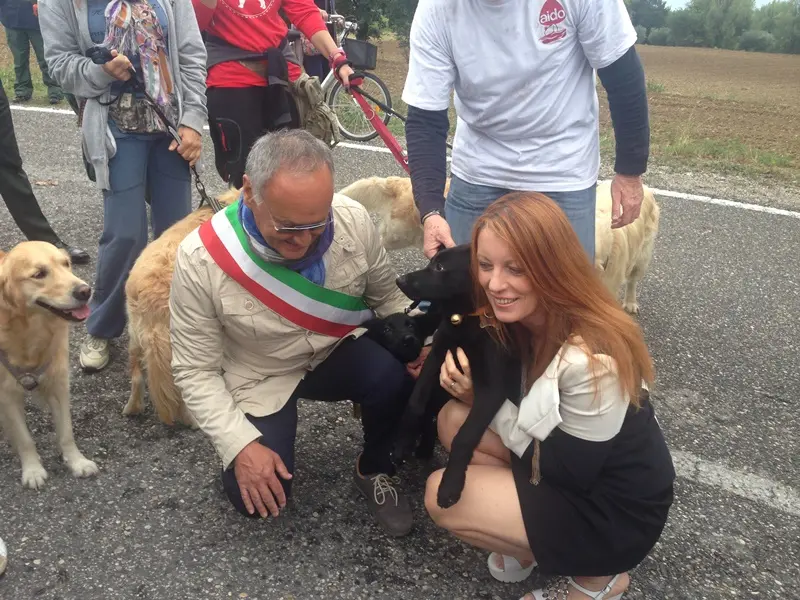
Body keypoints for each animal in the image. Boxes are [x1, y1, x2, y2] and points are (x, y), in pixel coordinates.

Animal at [0, 241, 99, 490]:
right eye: (39, 274)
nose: (85, 291)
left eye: (66, 264)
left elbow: (66, 432)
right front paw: (33, 470)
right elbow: (24, 438)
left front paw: (76, 462)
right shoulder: (6, 393)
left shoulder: (58, 383)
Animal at [392, 246, 520, 508]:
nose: (399, 280)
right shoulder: (435, 358)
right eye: (430, 261)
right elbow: (415, 402)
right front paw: (402, 442)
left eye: (440, 267)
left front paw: (450, 485)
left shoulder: (491, 390)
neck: (464, 319)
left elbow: (464, 436)